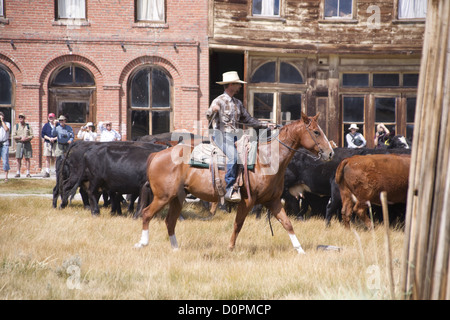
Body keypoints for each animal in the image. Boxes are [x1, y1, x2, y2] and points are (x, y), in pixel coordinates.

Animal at [134, 112, 334, 252]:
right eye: (316, 132)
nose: (330, 152)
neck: (266, 160)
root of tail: (156, 155)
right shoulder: (247, 201)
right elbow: (238, 224)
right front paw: (230, 247)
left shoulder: (274, 201)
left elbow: (287, 224)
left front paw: (300, 250)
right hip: (163, 196)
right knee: (146, 213)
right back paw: (142, 243)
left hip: (177, 198)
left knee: (170, 221)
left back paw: (175, 248)